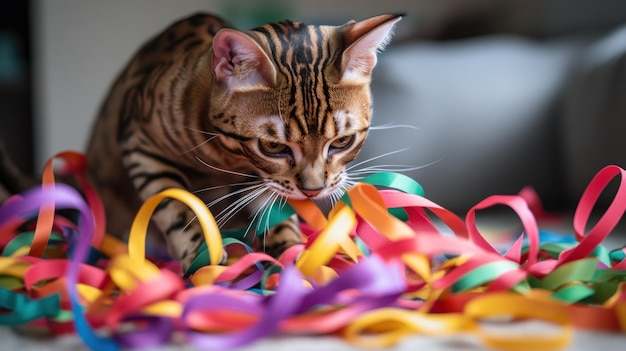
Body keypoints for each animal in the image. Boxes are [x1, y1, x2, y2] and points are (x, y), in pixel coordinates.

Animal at [8, 10, 404, 270]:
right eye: (274, 147)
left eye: (342, 142)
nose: (313, 191)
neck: (225, 157)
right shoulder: (139, 142)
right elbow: (178, 209)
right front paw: (204, 259)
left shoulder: (259, 181)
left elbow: (275, 212)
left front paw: (290, 252)